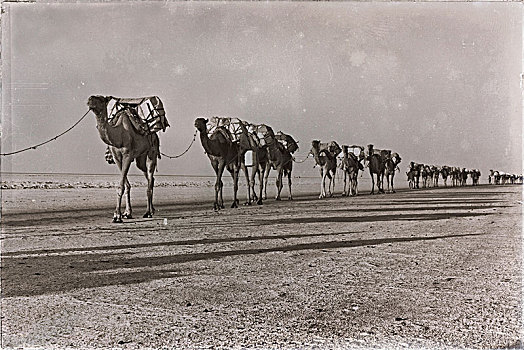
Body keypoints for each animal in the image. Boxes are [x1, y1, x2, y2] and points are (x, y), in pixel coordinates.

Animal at [88, 94, 162, 223]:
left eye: (102, 99)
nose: (90, 99)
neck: (119, 134)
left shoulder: (127, 155)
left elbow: (121, 186)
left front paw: (117, 216)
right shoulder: (117, 158)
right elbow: (126, 185)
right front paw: (127, 213)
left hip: (152, 152)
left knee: (149, 177)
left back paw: (148, 212)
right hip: (140, 158)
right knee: (149, 178)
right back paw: (151, 210)